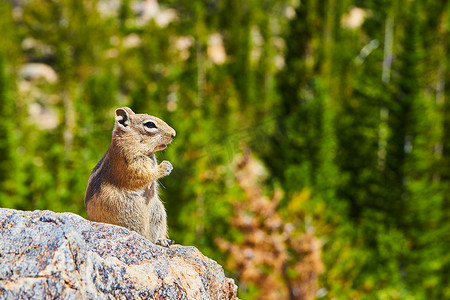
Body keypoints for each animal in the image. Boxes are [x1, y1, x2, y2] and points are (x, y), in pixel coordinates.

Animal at [85, 107, 177, 246]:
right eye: (150, 124)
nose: (173, 134)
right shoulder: (129, 162)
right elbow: (143, 175)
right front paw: (164, 166)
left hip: (158, 212)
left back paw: (162, 240)